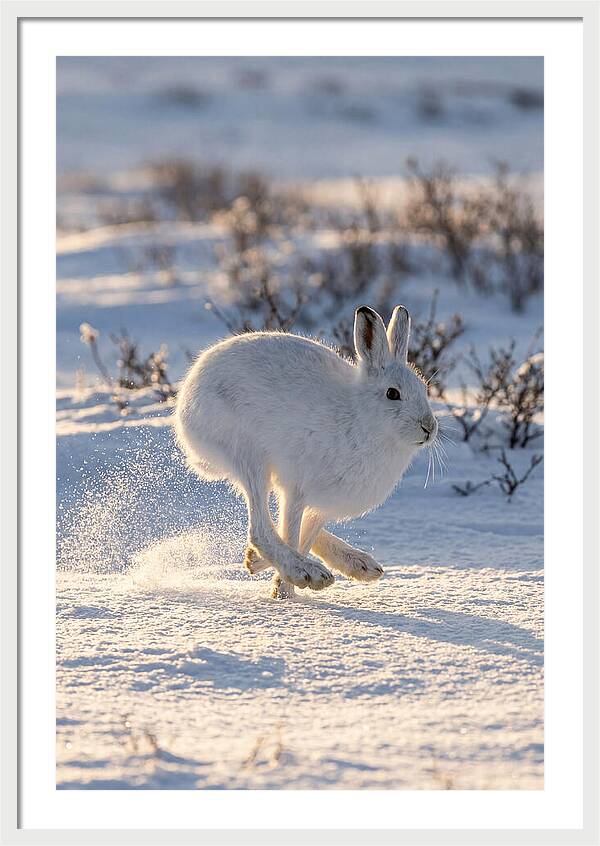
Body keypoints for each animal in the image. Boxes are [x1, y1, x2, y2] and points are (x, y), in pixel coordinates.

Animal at [174, 305, 438, 598]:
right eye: (393, 393)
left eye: (424, 388)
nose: (429, 427)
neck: (362, 419)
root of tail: (186, 399)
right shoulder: (298, 489)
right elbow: (291, 533)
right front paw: (286, 592)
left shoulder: (322, 504)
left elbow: (305, 535)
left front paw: (277, 582)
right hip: (248, 455)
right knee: (260, 528)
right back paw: (305, 571)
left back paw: (357, 565)